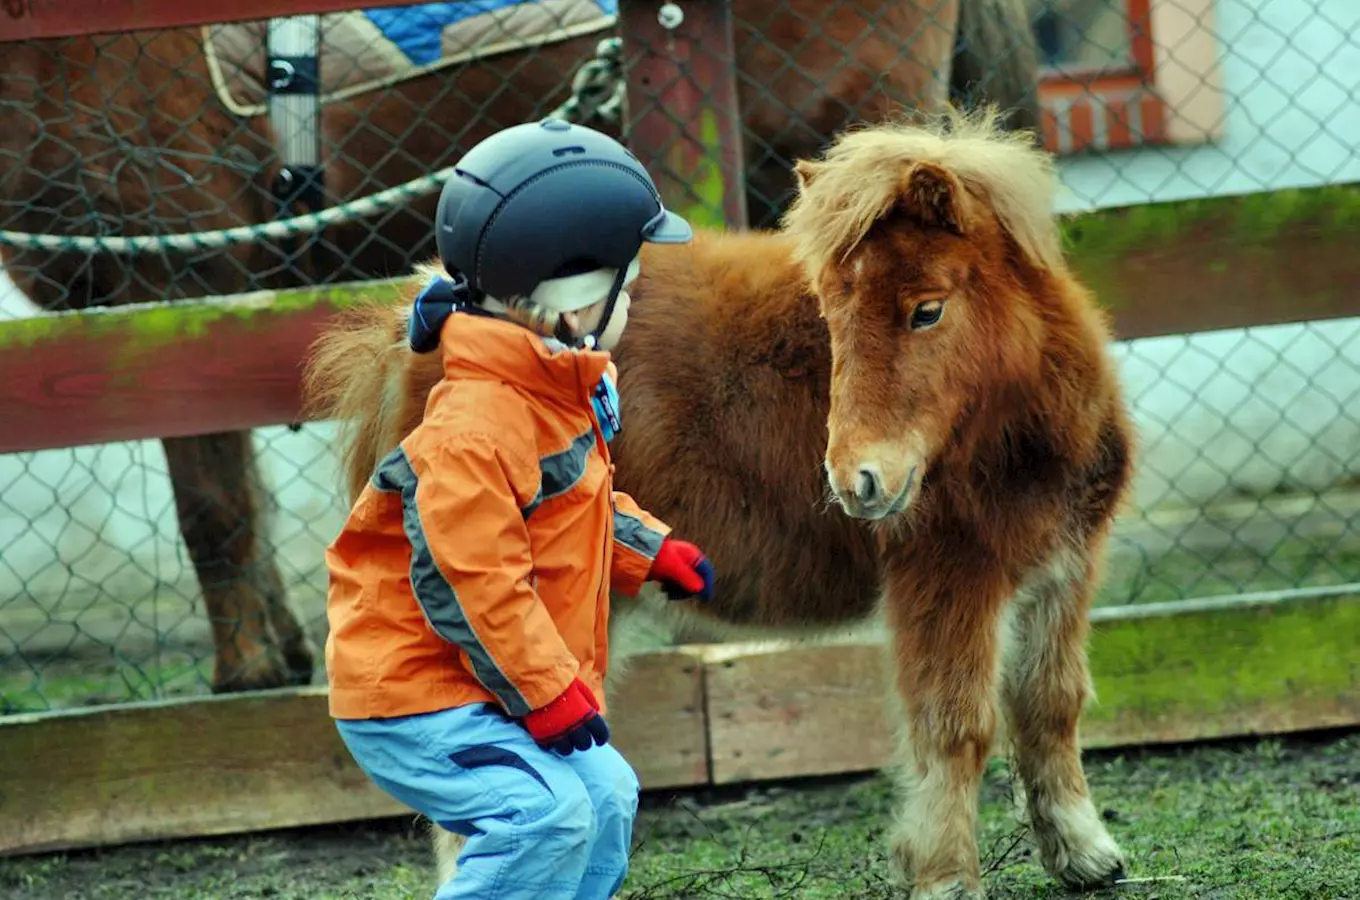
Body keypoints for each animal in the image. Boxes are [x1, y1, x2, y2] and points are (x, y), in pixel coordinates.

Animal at [306, 110, 1136, 900]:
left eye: (927, 311)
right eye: (831, 317)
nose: (857, 482)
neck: (1014, 434)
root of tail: (414, 324)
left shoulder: (1061, 570)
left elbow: (1052, 704)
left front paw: (1084, 855)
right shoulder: (949, 577)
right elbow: (956, 726)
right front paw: (945, 876)